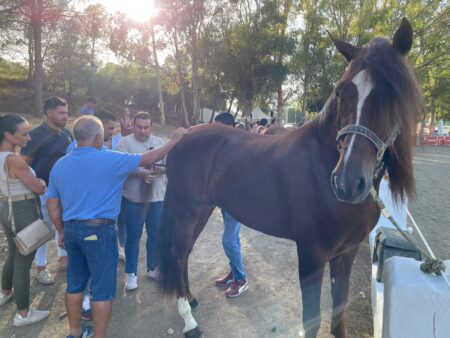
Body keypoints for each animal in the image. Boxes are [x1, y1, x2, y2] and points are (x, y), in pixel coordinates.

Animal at [157, 18, 422, 338]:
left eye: (394, 93)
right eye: (340, 91)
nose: (347, 182)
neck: (322, 163)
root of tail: (182, 136)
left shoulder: (344, 254)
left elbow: (338, 313)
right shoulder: (311, 254)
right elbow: (311, 320)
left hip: (203, 210)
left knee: (183, 255)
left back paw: (192, 300)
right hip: (187, 211)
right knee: (178, 254)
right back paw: (190, 322)